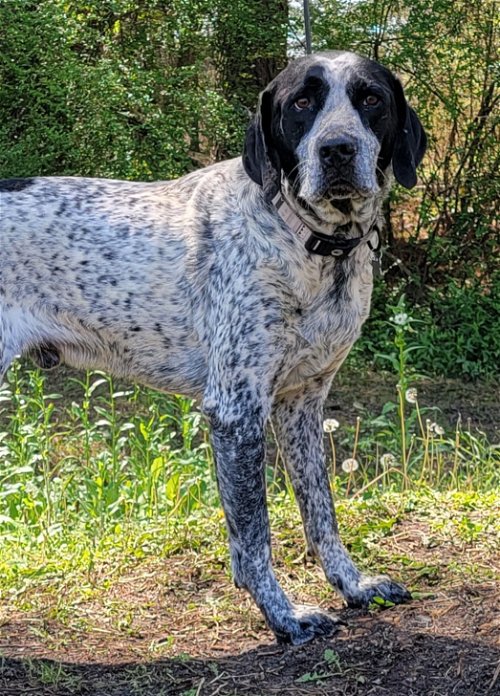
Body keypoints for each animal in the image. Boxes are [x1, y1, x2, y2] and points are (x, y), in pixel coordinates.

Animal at [0, 51, 426, 644]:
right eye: (301, 102)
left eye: (370, 99)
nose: (337, 150)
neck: (306, 242)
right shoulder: (236, 411)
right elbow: (253, 538)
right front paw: (283, 615)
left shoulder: (302, 405)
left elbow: (321, 514)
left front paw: (353, 584)